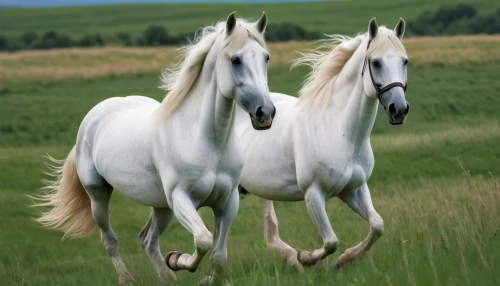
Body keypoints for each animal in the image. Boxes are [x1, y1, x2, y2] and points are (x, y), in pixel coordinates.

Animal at [33, 12, 276, 284]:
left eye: (266, 57)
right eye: (235, 59)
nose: (265, 113)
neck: (206, 140)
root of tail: (94, 116)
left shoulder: (227, 201)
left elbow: (218, 254)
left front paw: (202, 275)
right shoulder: (181, 198)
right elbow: (203, 240)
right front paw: (179, 260)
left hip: (161, 207)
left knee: (147, 239)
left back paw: (166, 276)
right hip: (100, 195)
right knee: (110, 239)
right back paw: (128, 278)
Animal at [236, 18, 408, 270]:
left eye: (405, 60)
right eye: (375, 62)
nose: (399, 109)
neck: (340, 131)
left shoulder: (353, 190)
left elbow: (377, 226)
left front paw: (344, 260)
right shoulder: (314, 195)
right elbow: (330, 242)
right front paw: (307, 257)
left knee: (269, 229)